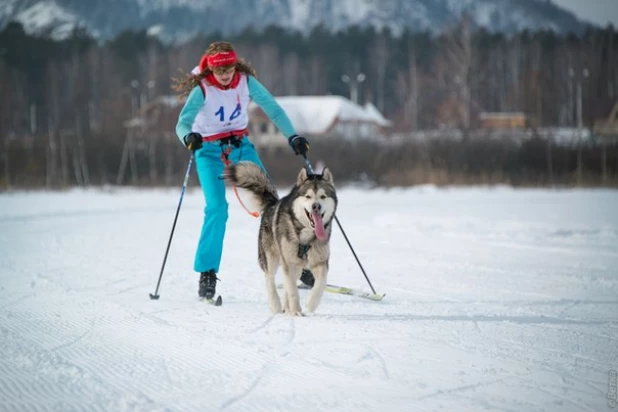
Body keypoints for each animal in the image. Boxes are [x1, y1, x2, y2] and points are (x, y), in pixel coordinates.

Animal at [223, 162, 336, 316]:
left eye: (323, 196)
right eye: (308, 196)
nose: (316, 206)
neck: (305, 235)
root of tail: (272, 204)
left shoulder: (320, 262)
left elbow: (321, 283)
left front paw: (311, 303)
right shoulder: (288, 262)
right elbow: (293, 291)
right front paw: (296, 311)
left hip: (297, 266)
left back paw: (286, 307)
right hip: (271, 257)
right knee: (270, 278)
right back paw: (276, 304)